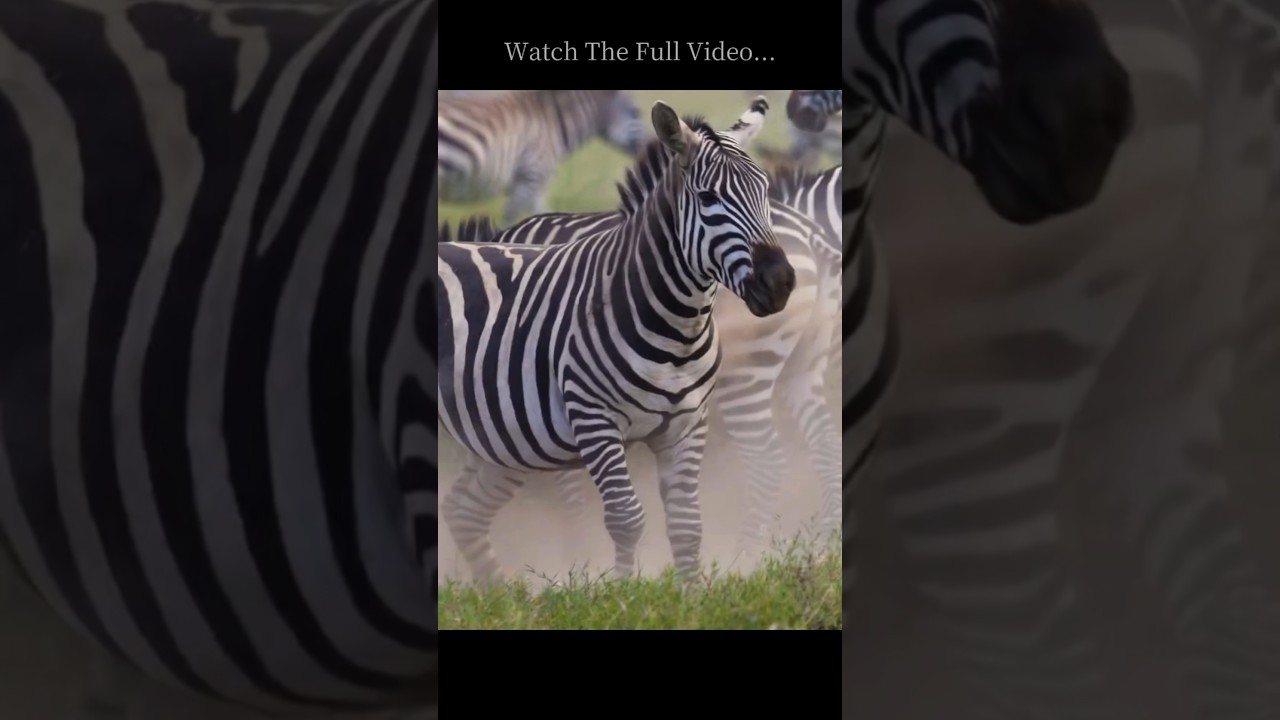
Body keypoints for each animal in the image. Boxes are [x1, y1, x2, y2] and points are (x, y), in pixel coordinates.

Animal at [437, 89, 647, 225]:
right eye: (636, 112)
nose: (650, 144)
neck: (553, 120)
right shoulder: (531, 175)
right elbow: (512, 217)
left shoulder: (536, 185)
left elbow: (542, 213)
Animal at [443, 123, 848, 564]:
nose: (779, 282)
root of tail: (809, 232)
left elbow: (573, 493)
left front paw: (580, 554)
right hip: (800, 367)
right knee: (825, 447)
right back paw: (822, 542)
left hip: (748, 374)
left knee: (768, 462)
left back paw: (745, 556)